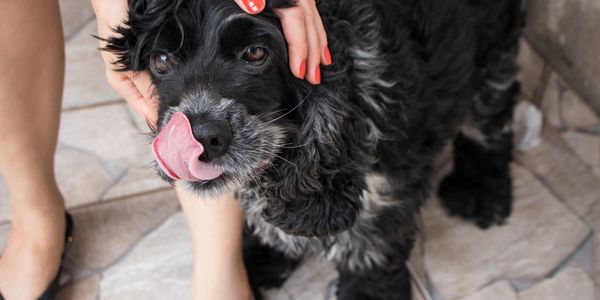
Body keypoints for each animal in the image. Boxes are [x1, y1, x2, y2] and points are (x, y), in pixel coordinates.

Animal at [106, 0, 524, 298]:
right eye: (161, 60)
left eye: (255, 53)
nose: (202, 137)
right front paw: (258, 259)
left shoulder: (380, 216)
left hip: (494, 53)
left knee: (493, 120)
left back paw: (481, 192)